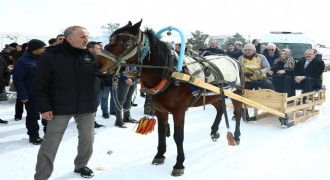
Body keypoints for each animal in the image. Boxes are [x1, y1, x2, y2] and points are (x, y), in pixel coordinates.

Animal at [93, 19, 245, 176]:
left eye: (125, 42)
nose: (97, 64)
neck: (169, 73)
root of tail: (234, 60)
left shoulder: (179, 111)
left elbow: (178, 136)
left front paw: (179, 164)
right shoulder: (160, 110)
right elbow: (161, 132)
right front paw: (160, 155)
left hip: (236, 93)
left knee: (238, 112)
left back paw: (236, 136)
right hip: (213, 95)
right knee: (220, 108)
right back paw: (214, 132)